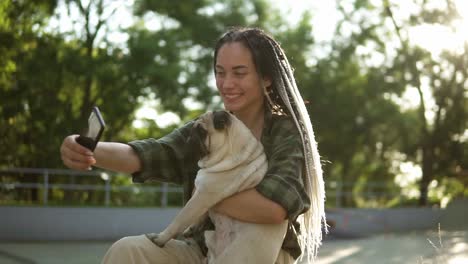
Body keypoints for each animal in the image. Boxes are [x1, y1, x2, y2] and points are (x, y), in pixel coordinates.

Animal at [152, 111, 288, 264]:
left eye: (202, 131)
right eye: (192, 129)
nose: (189, 138)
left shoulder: (200, 198)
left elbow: (179, 219)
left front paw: (160, 239)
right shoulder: (201, 200)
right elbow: (200, 217)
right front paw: (191, 228)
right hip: (210, 237)